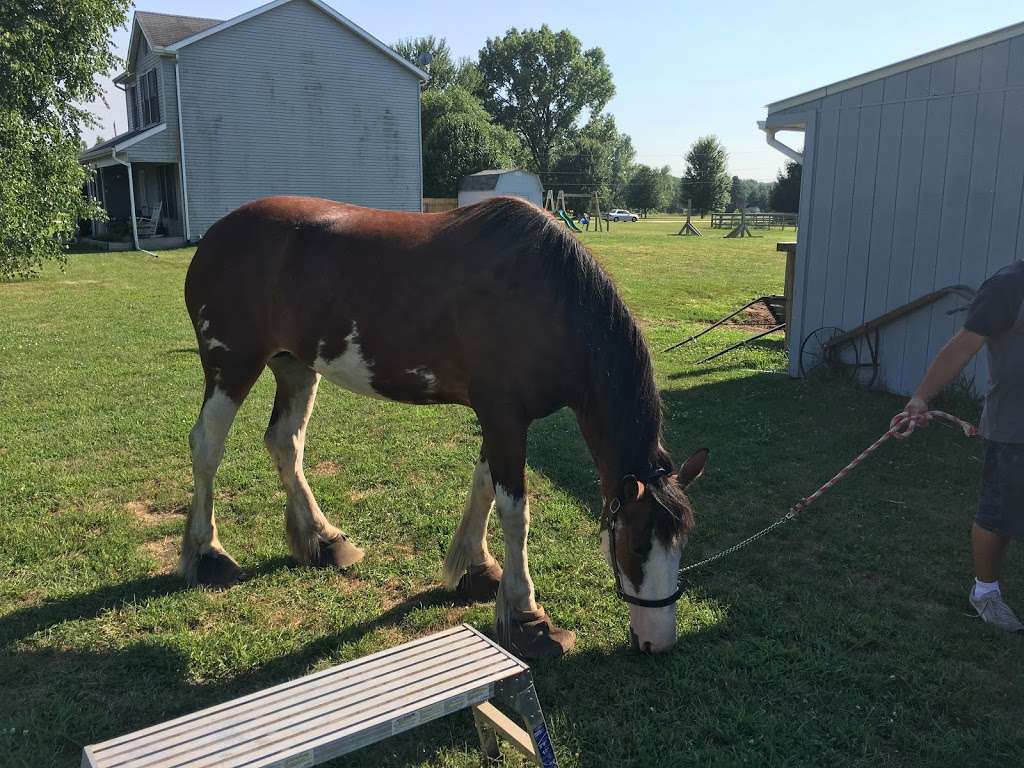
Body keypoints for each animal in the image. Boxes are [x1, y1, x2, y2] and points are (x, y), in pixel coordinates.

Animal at [180, 195, 708, 659]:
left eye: (682, 543)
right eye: (635, 544)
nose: (657, 644)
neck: (546, 297)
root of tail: (218, 235)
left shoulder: (498, 421)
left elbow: (484, 489)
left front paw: (477, 568)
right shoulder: (504, 416)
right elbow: (515, 513)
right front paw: (528, 615)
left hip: (294, 367)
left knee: (285, 444)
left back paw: (323, 539)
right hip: (232, 364)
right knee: (207, 446)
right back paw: (207, 554)